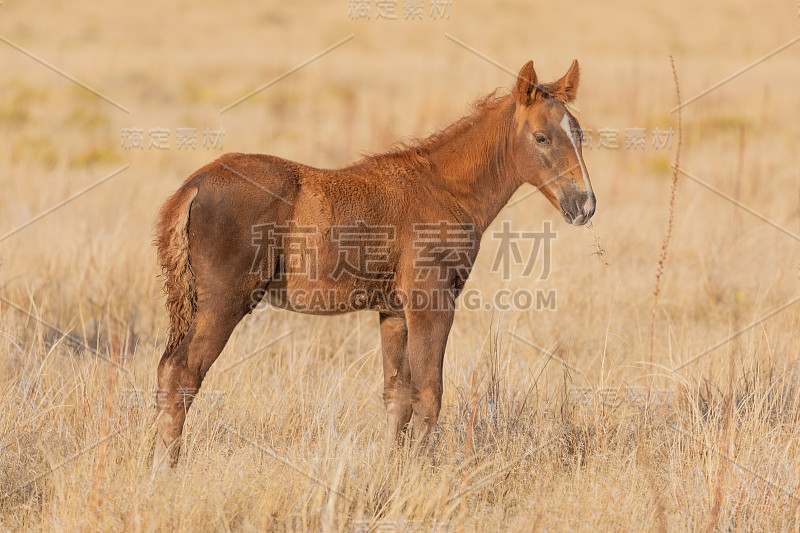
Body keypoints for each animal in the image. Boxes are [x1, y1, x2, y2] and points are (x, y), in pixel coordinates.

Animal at [155, 59, 592, 466]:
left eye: (580, 134)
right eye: (541, 137)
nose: (585, 205)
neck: (444, 189)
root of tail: (194, 185)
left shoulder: (393, 312)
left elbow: (397, 396)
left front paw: (392, 468)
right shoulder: (431, 303)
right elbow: (429, 394)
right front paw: (419, 472)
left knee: (165, 371)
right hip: (224, 303)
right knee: (182, 374)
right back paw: (168, 467)